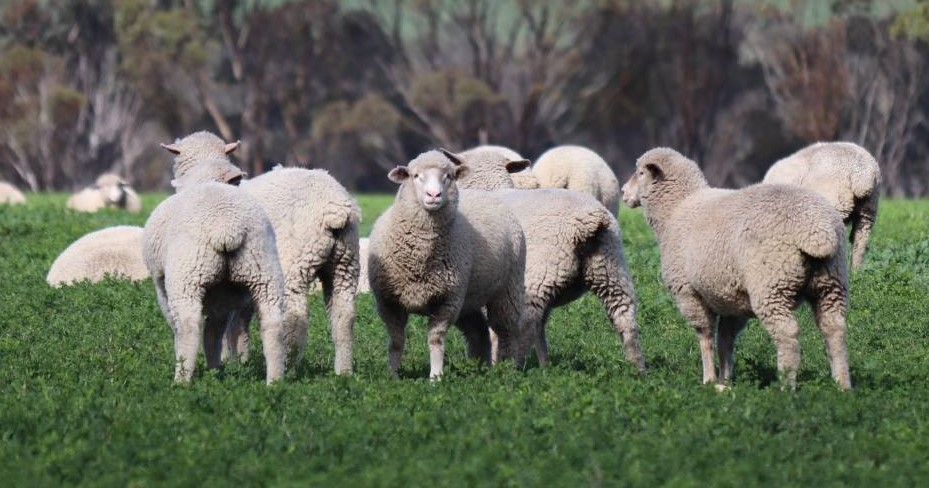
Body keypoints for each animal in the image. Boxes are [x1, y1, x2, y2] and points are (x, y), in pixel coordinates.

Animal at [141, 177, 284, 384]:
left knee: (188, 326)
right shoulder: (222, 300)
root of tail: (225, 228)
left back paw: (181, 379)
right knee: (272, 324)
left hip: (187, 275)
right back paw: (274, 381)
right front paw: (215, 370)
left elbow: (182, 329)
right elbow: (213, 333)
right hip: (263, 269)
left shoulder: (162, 289)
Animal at [366, 151, 524, 380]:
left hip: (506, 290)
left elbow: (436, 340)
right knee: (478, 331)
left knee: (507, 331)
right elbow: (396, 342)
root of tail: (486, 194)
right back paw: (479, 369)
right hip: (468, 301)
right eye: (415, 175)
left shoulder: (446, 302)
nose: (434, 195)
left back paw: (508, 369)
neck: (420, 255)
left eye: (448, 176)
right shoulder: (388, 302)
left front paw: (436, 377)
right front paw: (393, 377)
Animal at [450, 149, 644, 374]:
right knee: (625, 318)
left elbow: (497, 331)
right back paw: (637, 370)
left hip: (538, 278)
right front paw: (545, 367)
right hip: (610, 268)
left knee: (525, 325)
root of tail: (589, 221)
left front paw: (495, 362)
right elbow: (539, 332)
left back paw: (513, 369)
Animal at [624, 147, 848, 390]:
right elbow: (725, 340)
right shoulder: (730, 298)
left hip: (771, 285)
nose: (623, 192)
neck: (677, 208)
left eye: (640, 172)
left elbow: (705, 337)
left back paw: (786, 386)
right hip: (831, 283)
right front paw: (725, 382)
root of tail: (818, 231)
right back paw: (842, 385)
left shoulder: (689, 293)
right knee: (834, 328)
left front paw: (709, 379)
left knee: (787, 334)